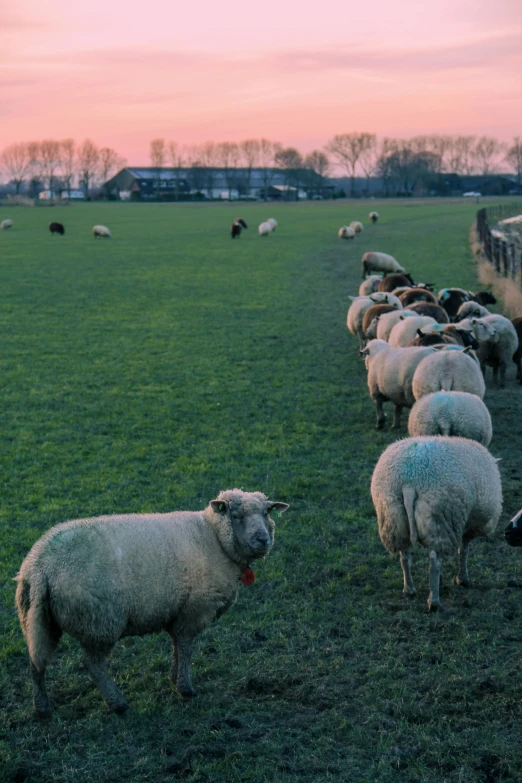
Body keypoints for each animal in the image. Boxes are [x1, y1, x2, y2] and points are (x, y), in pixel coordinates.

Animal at [15, 490, 288, 716]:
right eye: (235, 514)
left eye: (266, 512)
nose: (262, 539)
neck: (213, 537)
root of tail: (40, 565)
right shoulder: (194, 609)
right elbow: (186, 648)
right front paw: (185, 688)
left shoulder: (177, 610)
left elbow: (176, 646)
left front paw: (173, 677)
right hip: (100, 620)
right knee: (93, 664)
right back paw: (117, 703)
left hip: (38, 620)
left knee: (36, 662)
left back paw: (42, 708)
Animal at [370, 434, 500, 612]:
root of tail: (408, 482)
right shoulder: (469, 526)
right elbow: (464, 551)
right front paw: (463, 579)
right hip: (440, 519)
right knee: (434, 562)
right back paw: (434, 602)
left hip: (394, 519)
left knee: (404, 556)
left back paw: (409, 589)